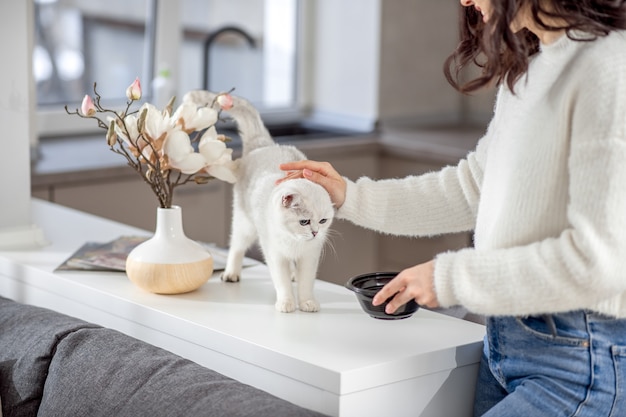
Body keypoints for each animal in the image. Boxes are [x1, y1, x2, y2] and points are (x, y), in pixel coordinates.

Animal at [182, 91, 334, 312]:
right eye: (304, 221)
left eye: (323, 221)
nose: (315, 233)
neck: (294, 241)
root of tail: (264, 145)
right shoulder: (275, 254)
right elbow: (281, 282)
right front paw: (287, 303)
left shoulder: (309, 257)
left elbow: (306, 283)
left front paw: (307, 302)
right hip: (244, 224)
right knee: (236, 247)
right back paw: (231, 274)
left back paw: (293, 274)